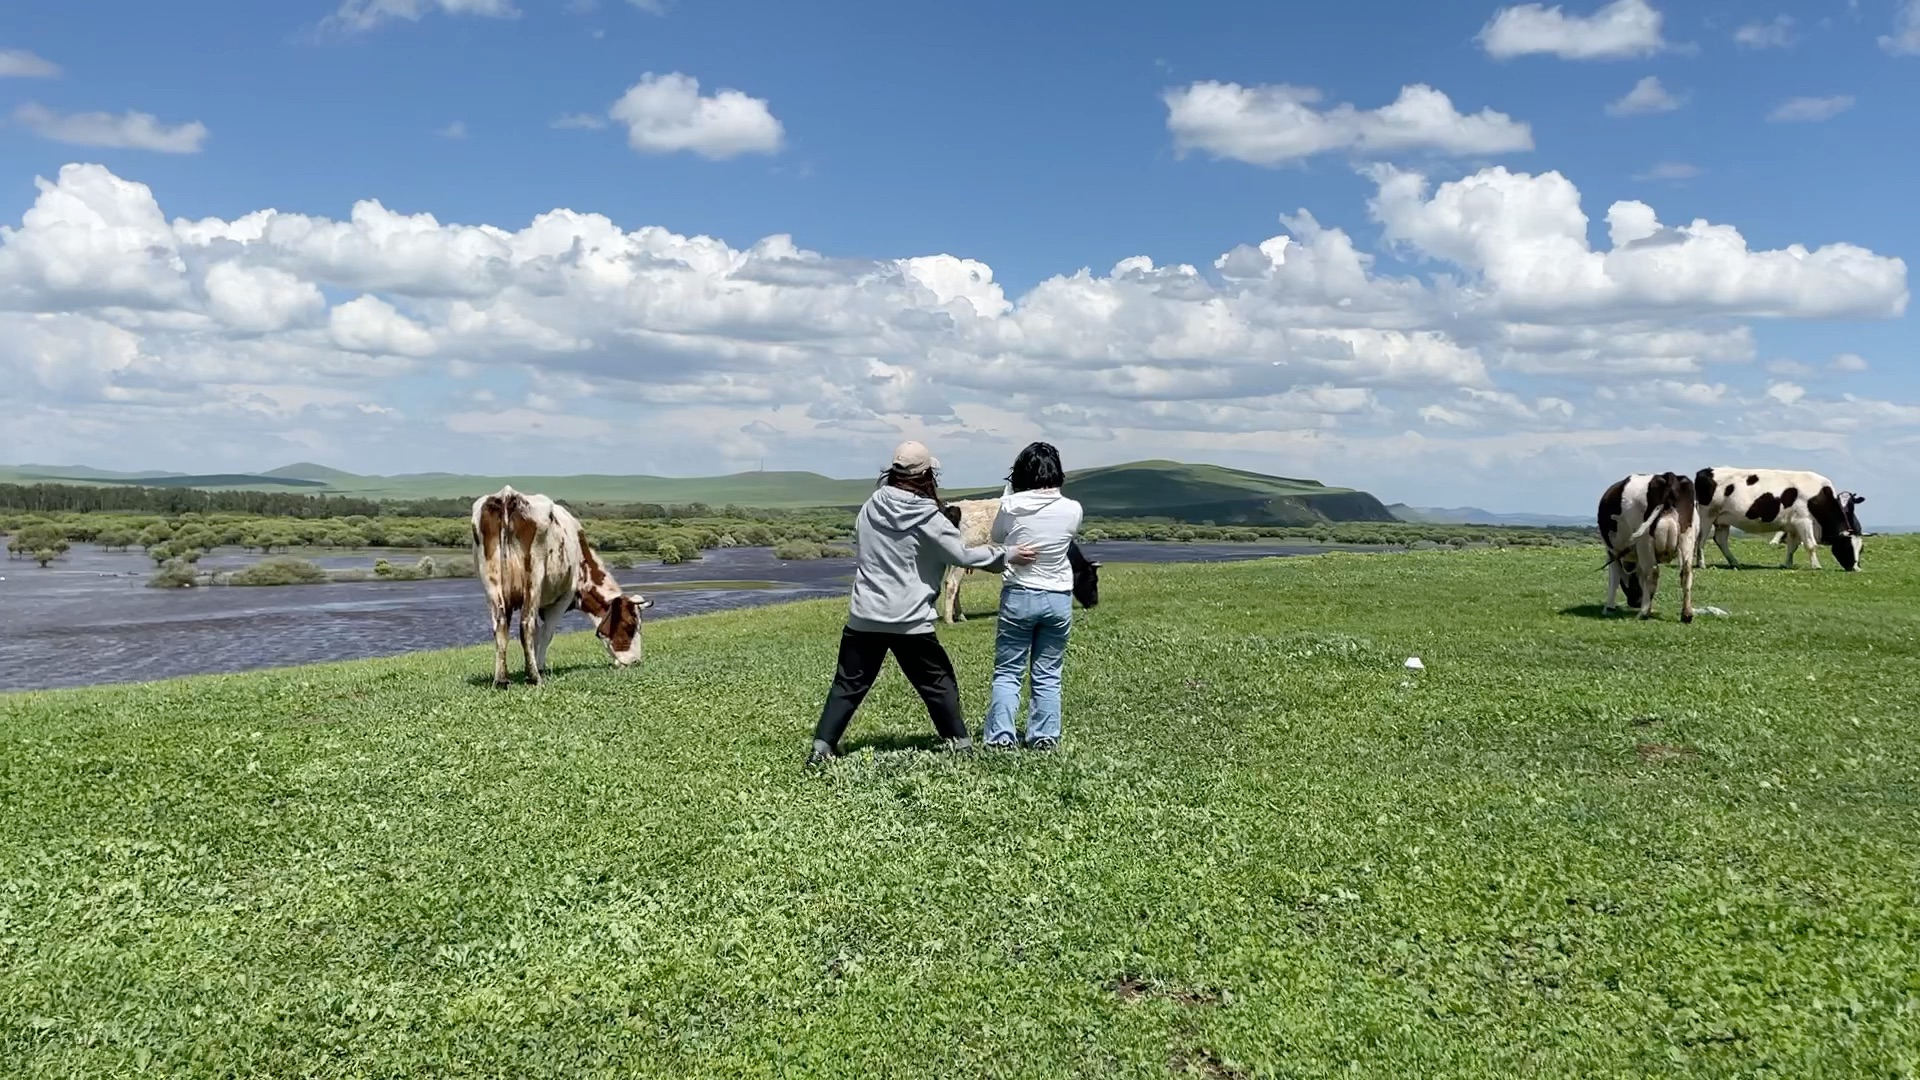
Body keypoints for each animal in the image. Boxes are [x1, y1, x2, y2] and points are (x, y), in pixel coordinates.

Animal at [470, 484, 652, 684]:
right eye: (630, 625)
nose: (635, 661)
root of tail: (507, 494)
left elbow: (537, 634)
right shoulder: (563, 597)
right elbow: (546, 633)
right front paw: (539, 668)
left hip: (492, 583)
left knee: (501, 625)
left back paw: (501, 679)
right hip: (533, 578)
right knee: (526, 624)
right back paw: (535, 678)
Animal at [1597, 470, 1704, 622]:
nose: (1635, 602)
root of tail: (1668, 476)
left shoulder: (1612, 552)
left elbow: (1614, 578)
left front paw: (1609, 608)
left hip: (1645, 540)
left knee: (1652, 572)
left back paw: (1643, 612)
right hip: (1687, 537)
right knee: (1686, 572)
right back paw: (1686, 614)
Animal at [1697, 468, 1858, 572]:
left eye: (1860, 550)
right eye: (1848, 547)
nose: (1856, 568)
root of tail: (1706, 470)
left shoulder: (1793, 525)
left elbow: (1792, 546)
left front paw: (1787, 564)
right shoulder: (1803, 521)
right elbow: (1810, 545)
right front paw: (1816, 566)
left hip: (1722, 519)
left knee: (1720, 540)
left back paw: (1734, 563)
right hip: (1706, 515)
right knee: (1701, 539)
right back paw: (1701, 564)